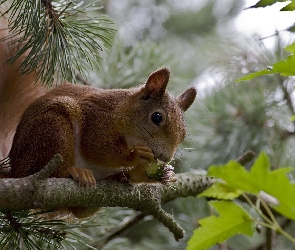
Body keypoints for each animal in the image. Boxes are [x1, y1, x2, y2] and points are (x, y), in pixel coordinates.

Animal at [0, 14, 199, 217]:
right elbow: (96, 148)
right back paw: (74, 172)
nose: (166, 157)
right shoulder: (98, 119)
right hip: (53, 129)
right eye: (157, 117)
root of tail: (15, 171)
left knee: (82, 211)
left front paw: (159, 173)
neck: (123, 114)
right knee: (54, 171)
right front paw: (135, 155)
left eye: (184, 134)